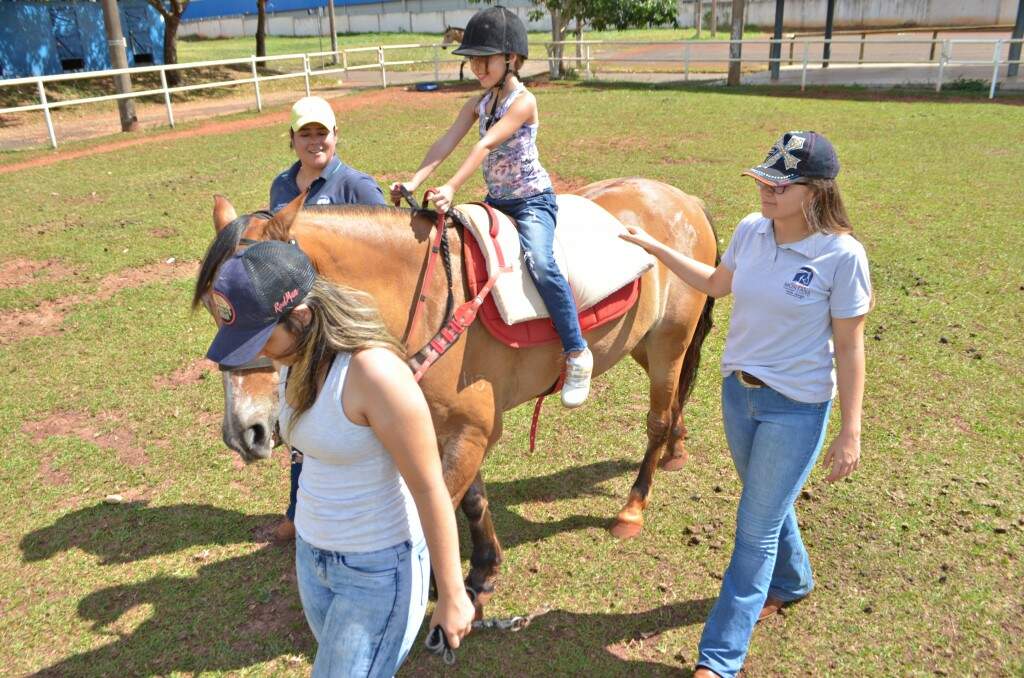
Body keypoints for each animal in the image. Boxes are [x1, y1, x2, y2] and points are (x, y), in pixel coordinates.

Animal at [195, 178, 716, 606]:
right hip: (642, 343)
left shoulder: (473, 429)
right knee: (675, 402)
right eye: (218, 315)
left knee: (657, 419)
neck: (424, 298)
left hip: (669, 340)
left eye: (269, 314)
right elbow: (472, 500)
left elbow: (441, 509)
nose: (243, 432)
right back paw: (676, 449)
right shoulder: (452, 426)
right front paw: (484, 569)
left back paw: (633, 506)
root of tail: (683, 198)